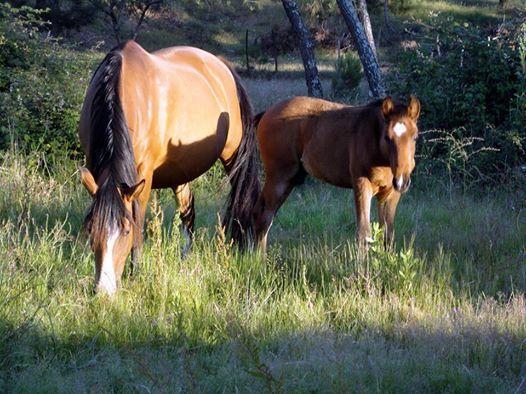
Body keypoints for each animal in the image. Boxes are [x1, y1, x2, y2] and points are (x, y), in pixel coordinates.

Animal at [78, 41, 260, 294]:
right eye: (91, 228)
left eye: (125, 231)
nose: (104, 290)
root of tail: (222, 66)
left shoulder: (142, 177)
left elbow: (138, 221)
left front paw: (136, 272)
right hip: (180, 173)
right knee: (188, 210)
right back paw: (185, 258)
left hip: (233, 156)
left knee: (243, 196)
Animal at [254, 94, 422, 252]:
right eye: (387, 137)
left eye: (415, 137)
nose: (401, 181)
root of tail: (267, 112)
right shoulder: (362, 185)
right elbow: (364, 233)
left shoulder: (390, 194)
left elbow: (387, 235)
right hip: (279, 179)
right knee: (263, 217)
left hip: (290, 180)